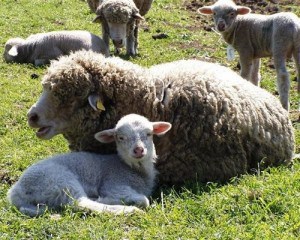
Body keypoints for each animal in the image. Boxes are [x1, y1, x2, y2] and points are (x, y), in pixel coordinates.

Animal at [7, 113, 171, 217]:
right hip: (59, 181)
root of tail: (15, 191)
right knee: (81, 203)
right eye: (120, 138)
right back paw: (125, 208)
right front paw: (112, 199)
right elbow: (144, 200)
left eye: (149, 134)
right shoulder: (114, 184)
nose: (138, 150)